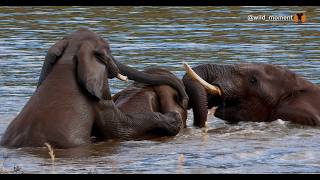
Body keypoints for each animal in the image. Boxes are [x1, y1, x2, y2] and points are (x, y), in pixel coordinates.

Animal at [0, 28, 189, 149]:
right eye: (108, 52)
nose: (184, 99)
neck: (67, 60)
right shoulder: (99, 100)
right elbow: (120, 129)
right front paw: (173, 119)